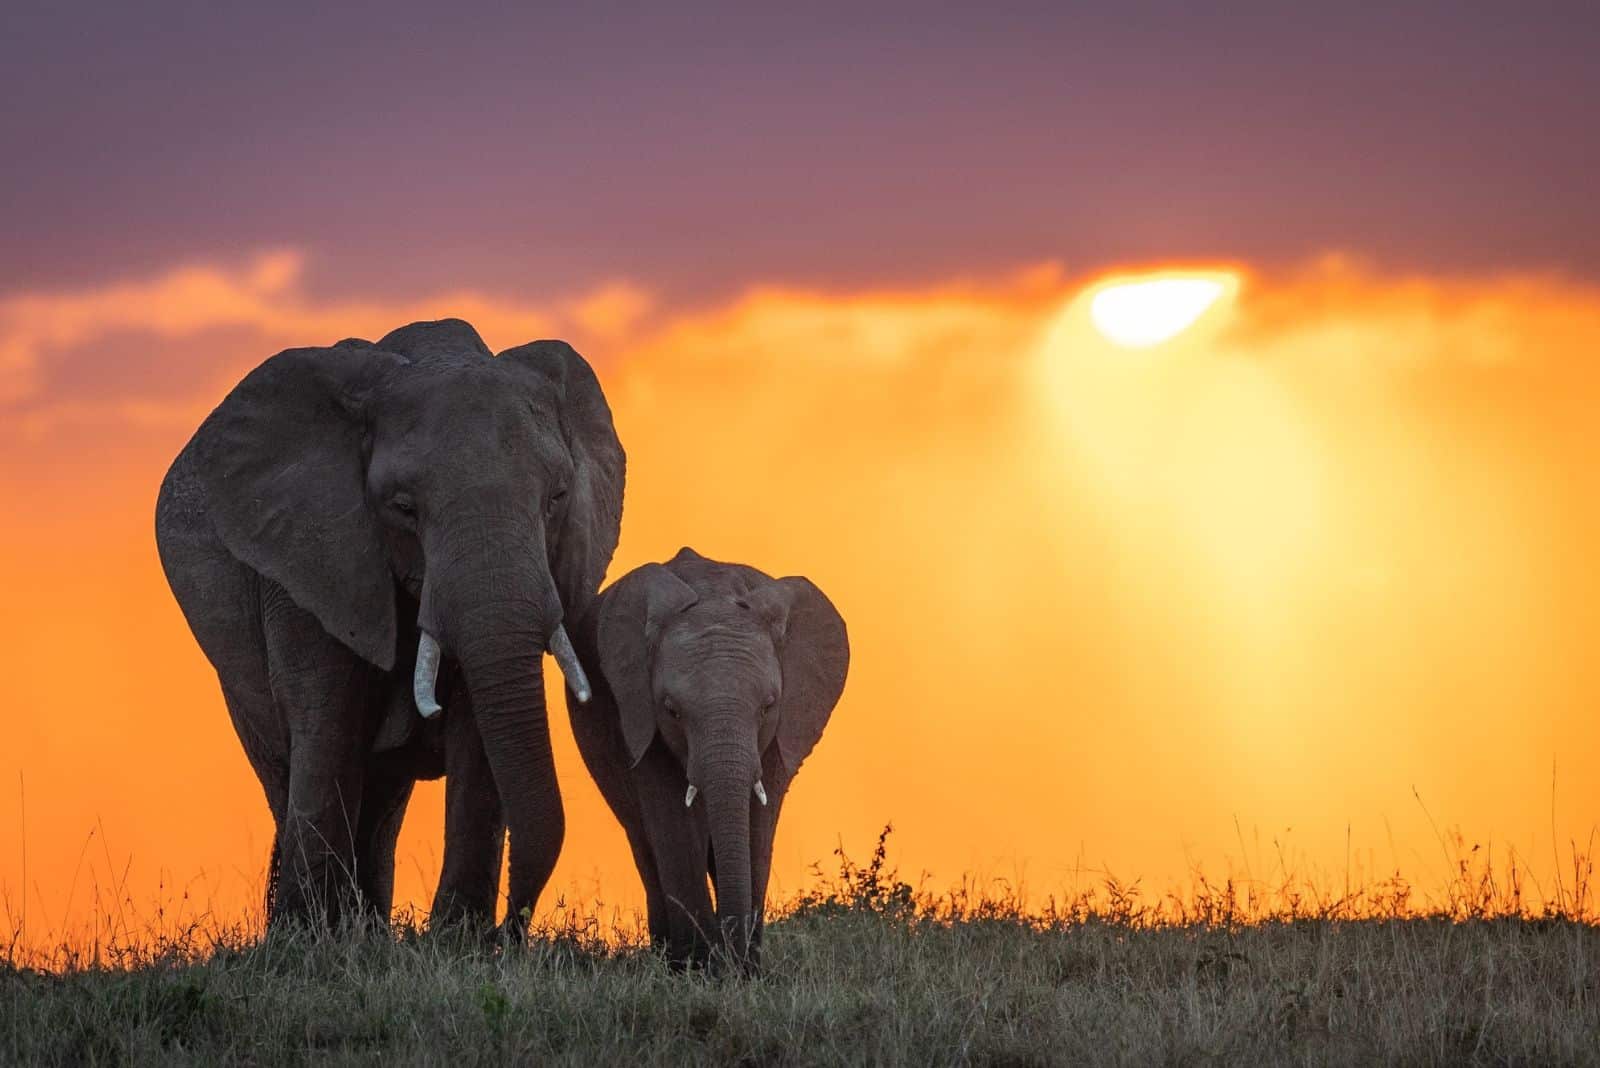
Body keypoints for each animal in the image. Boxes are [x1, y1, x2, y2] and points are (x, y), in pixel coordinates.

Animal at [152, 319, 620, 933]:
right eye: (403, 508)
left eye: (558, 498)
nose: (511, 930)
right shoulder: (309, 561)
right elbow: (328, 729)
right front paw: (309, 941)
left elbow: (479, 737)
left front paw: (455, 941)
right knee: (288, 770)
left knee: (380, 800)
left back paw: (367, 929)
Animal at [572, 546, 857, 972]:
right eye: (671, 710)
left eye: (767, 705)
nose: (733, 963)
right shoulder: (639, 715)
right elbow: (673, 823)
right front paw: (699, 969)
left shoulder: (783, 727)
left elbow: (758, 825)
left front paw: (744, 970)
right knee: (644, 842)